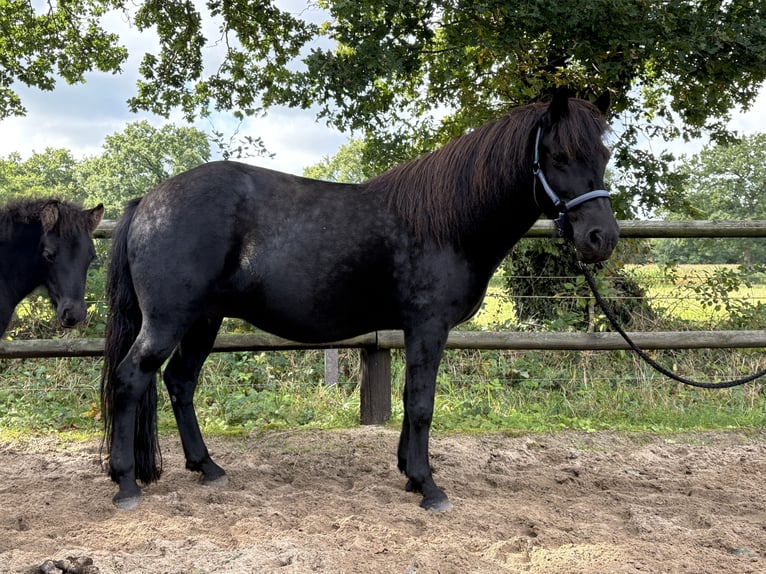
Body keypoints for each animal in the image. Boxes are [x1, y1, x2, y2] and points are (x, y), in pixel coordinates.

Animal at [101, 91, 619, 511]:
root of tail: (148, 201)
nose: (601, 238)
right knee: (130, 380)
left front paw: (410, 474)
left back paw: (207, 467)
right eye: (558, 154)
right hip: (168, 321)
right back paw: (126, 484)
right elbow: (422, 402)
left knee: (179, 382)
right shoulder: (428, 326)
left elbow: (412, 401)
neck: (447, 222)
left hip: (203, 321)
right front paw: (428, 487)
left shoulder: (415, 330)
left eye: (605, 153)